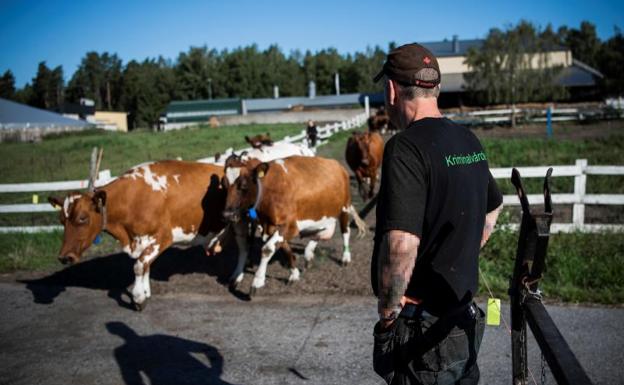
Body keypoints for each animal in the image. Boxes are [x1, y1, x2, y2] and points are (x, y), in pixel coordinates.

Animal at [47, 159, 243, 308]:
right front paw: (146, 292)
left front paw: (138, 298)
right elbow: (145, 265)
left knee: (243, 251)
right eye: (61, 220)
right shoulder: (142, 241)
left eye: (82, 218)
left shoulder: (163, 237)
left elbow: (139, 265)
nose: (64, 257)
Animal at [221, 154, 366, 292]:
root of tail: (337, 164)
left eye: (243, 186)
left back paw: (345, 257)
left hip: (344, 207)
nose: (227, 215)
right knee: (324, 232)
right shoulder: (271, 226)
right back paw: (309, 253)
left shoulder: (290, 226)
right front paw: (294, 274)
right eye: (224, 184)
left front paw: (257, 281)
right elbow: (283, 248)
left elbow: (268, 249)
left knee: (345, 232)